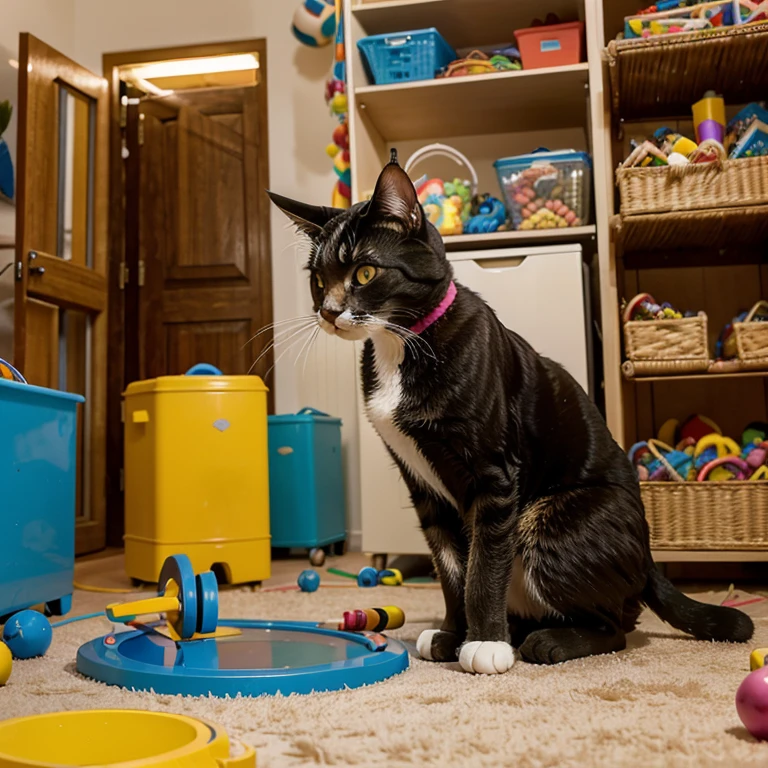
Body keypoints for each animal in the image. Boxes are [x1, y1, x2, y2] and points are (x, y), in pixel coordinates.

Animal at [268, 154, 752, 672]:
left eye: (364, 272)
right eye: (318, 281)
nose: (329, 311)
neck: (402, 343)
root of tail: (647, 562)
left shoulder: (494, 475)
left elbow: (484, 565)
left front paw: (485, 643)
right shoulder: (424, 489)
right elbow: (451, 567)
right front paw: (453, 635)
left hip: (556, 518)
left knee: (617, 624)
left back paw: (550, 640)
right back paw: (519, 629)